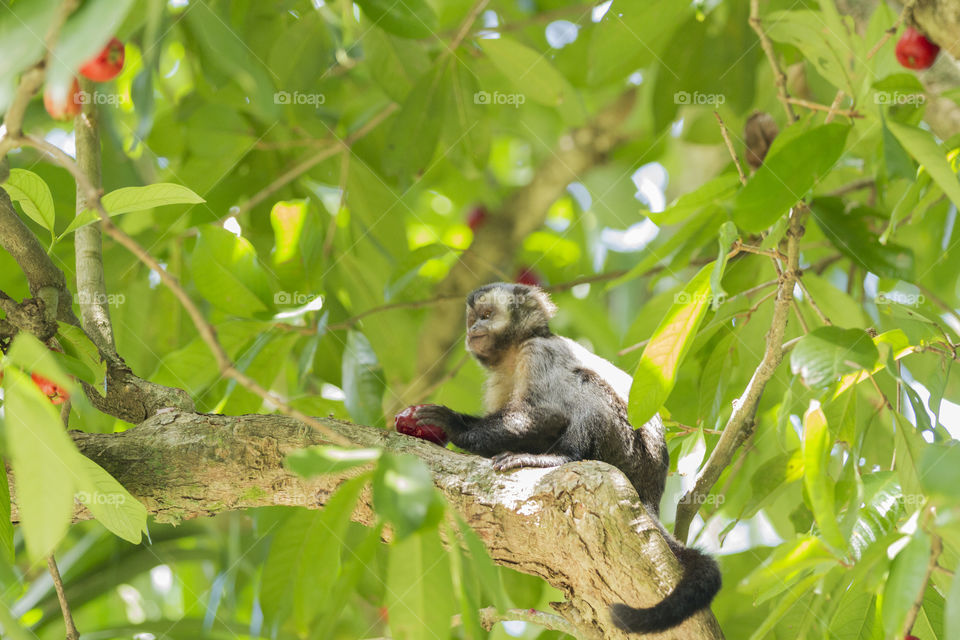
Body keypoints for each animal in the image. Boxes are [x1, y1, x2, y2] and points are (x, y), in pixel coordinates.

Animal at [412, 282, 720, 632]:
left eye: (487, 315)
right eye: (472, 319)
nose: (473, 330)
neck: (514, 353)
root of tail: (650, 493)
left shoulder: (538, 353)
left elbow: (548, 416)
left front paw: (453, 425)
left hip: (626, 452)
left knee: (586, 388)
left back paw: (562, 459)